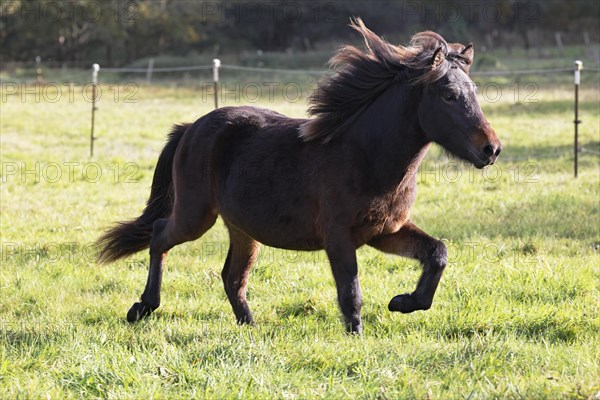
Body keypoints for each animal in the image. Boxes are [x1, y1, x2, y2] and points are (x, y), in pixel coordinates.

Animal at [98, 18, 502, 334]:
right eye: (448, 95)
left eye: (473, 92)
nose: (491, 149)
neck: (366, 156)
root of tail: (190, 128)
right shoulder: (339, 236)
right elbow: (351, 292)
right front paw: (358, 336)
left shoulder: (385, 231)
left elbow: (437, 253)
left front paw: (402, 302)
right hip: (195, 215)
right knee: (159, 235)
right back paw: (142, 308)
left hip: (242, 227)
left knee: (232, 276)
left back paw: (251, 328)